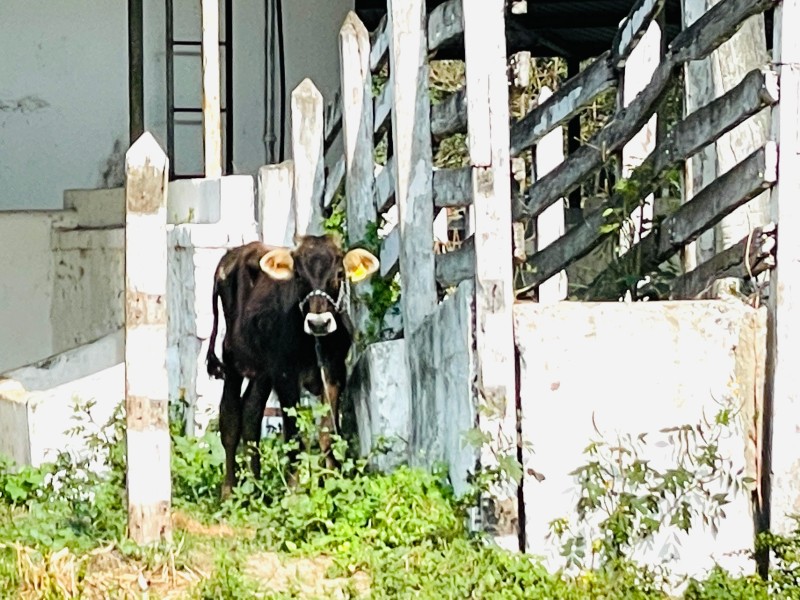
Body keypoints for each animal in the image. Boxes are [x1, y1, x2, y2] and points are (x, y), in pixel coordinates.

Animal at [206, 234, 382, 496]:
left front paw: (332, 484)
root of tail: (230, 257)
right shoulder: (286, 375)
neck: (314, 343)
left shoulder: (334, 372)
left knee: (251, 414)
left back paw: (256, 488)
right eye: (298, 276)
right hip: (232, 357)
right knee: (230, 418)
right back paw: (229, 492)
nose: (318, 322)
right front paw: (294, 492)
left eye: (340, 273)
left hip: (262, 372)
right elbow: (294, 436)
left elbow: (328, 433)